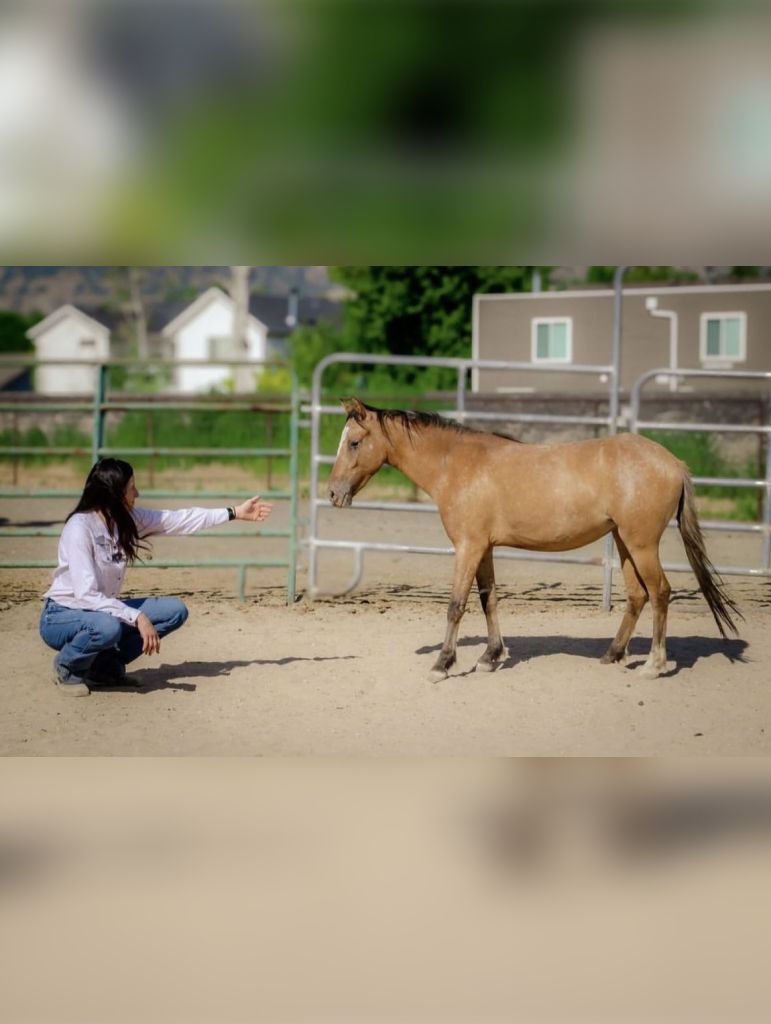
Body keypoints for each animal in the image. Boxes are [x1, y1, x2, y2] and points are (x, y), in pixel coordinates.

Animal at [327, 398, 741, 681]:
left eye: (354, 443)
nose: (332, 494)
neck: (457, 465)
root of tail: (674, 463)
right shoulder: (484, 548)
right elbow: (489, 600)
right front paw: (490, 657)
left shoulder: (467, 547)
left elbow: (456, 605)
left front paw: (442, 664)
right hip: (625, 543)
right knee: (638, 595)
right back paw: (612, 654)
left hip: (641, 544)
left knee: (660, 592)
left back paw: (653, 665)